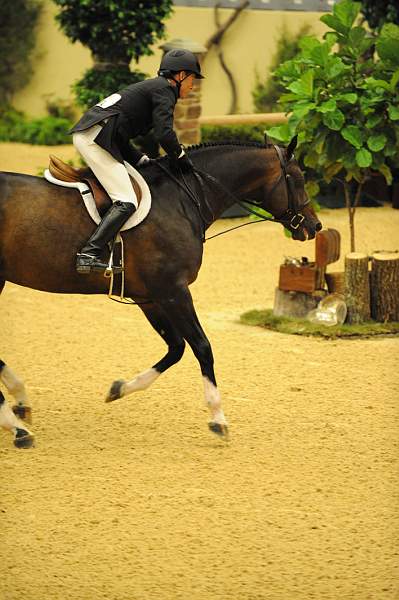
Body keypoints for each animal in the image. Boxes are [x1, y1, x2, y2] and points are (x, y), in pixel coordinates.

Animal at [0, 138, 322, 438]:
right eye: (297, 179)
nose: (315, 226)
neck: (182, 199)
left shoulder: (149, 296)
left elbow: (176, 347)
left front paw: (119, 388)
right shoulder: (173, 291)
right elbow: (202, 347)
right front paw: (218, 418)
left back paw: (19, 403)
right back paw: (17, 426)